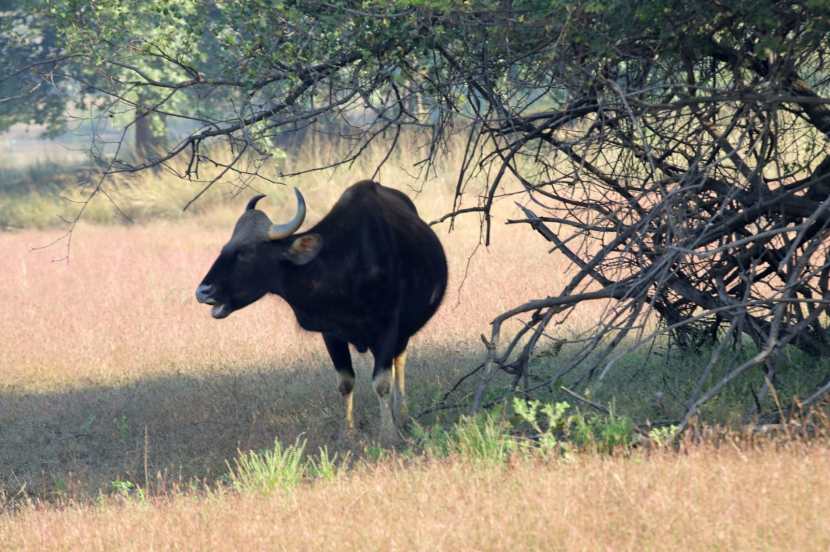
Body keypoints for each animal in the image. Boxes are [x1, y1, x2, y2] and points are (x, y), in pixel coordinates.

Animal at [196, 183, 448, 442]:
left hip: (404, 332)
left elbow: (382, 382)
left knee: (400, 362)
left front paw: (388, 433)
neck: (345, 267)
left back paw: (403, 416)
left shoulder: (387, 328)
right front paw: (347, 432)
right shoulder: (332, 334)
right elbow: (345, 382)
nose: (203, 291)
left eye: (246, 252)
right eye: (225, 248)